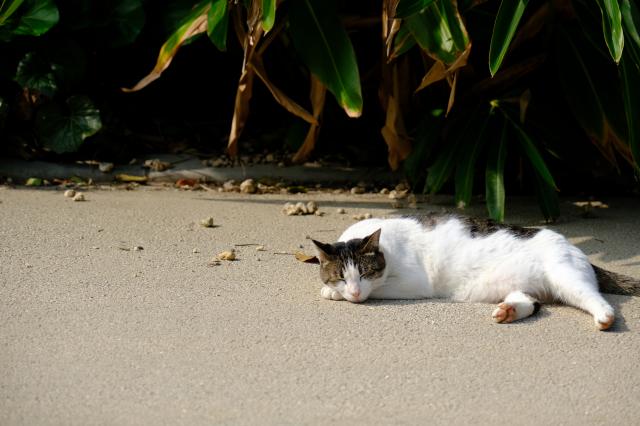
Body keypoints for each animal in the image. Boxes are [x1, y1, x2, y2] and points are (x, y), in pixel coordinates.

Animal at [311, 214, 640, 331]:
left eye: (365, 274)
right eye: (341, 276)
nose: (354, 291)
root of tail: (574, 247)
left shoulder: (412, 283)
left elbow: (376, 291)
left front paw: (334, 294)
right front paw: (334, 290)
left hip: (566, 278)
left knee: (597, 299)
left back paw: (605, 318)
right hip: (527, 287)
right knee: (532, 303)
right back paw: (508, 311)